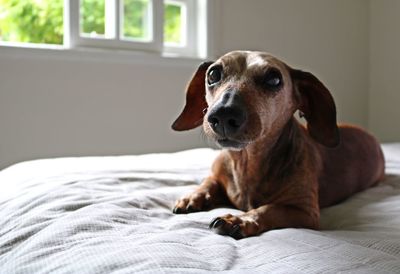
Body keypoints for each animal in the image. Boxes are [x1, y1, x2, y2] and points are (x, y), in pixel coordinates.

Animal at [170, 50, 384, 239]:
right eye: (213, 74)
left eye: (274, 79)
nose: (223, 114)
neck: (246, 161)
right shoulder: (217, 173)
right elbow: (208, 182)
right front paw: (193, 196)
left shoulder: (305, 212)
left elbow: (269, 209)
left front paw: (240, 220)